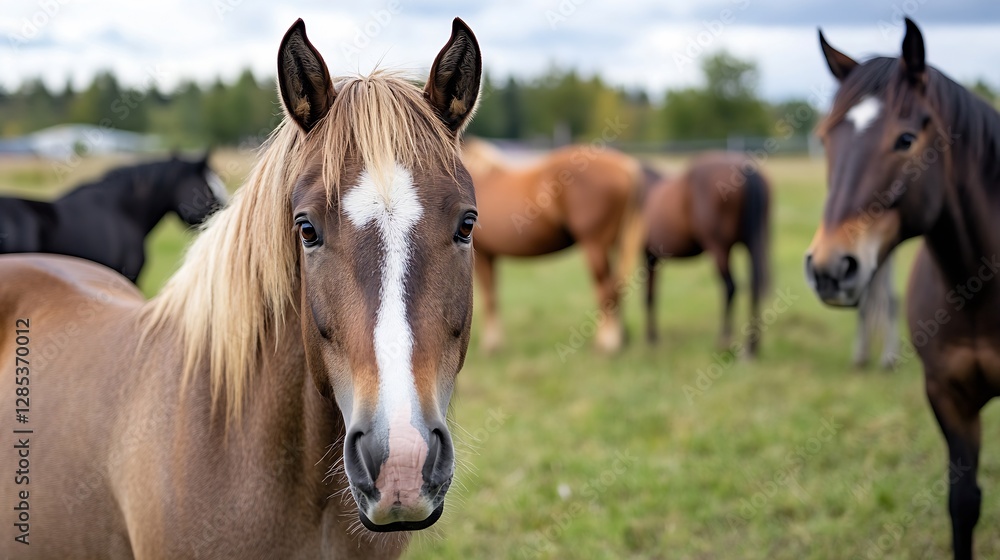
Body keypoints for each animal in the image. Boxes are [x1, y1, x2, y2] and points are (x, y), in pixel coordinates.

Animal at [460, 138, 646, 353]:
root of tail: (626, 167)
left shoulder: (483, 255)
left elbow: (489, 298)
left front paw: (491, 345)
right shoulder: (490, 256)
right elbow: (493, 296)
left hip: (596, 246)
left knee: (606, 290)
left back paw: (608, 344)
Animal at [642, 151, 771, 356]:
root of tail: (745, 169)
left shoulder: (646, 256)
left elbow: (647, 296)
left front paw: (650, 338)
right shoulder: (652, 258)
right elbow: (652, 294)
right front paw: (652, 337)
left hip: (719, 249)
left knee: (730, 287)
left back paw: (724, 339)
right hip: (753, 243)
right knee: (755, 285)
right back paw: (752, 347)